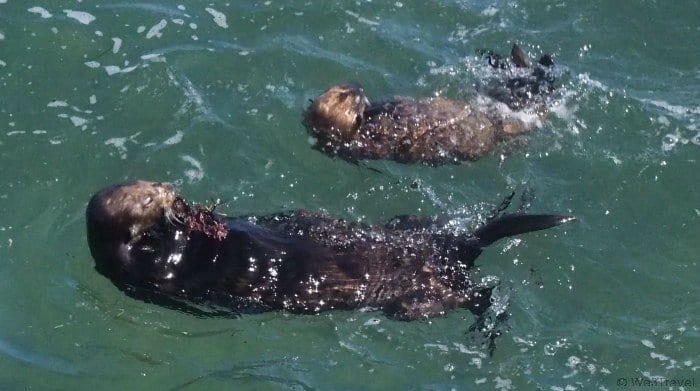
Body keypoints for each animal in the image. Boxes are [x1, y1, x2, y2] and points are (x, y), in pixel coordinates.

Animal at [85, 181, 576, 322]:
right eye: (149, 199)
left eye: (158, 184)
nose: (174, 195)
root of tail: (458, 245)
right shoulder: (160, 273)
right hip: (420, 297)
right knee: (468, 295)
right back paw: (489, 314)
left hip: (414, 229)